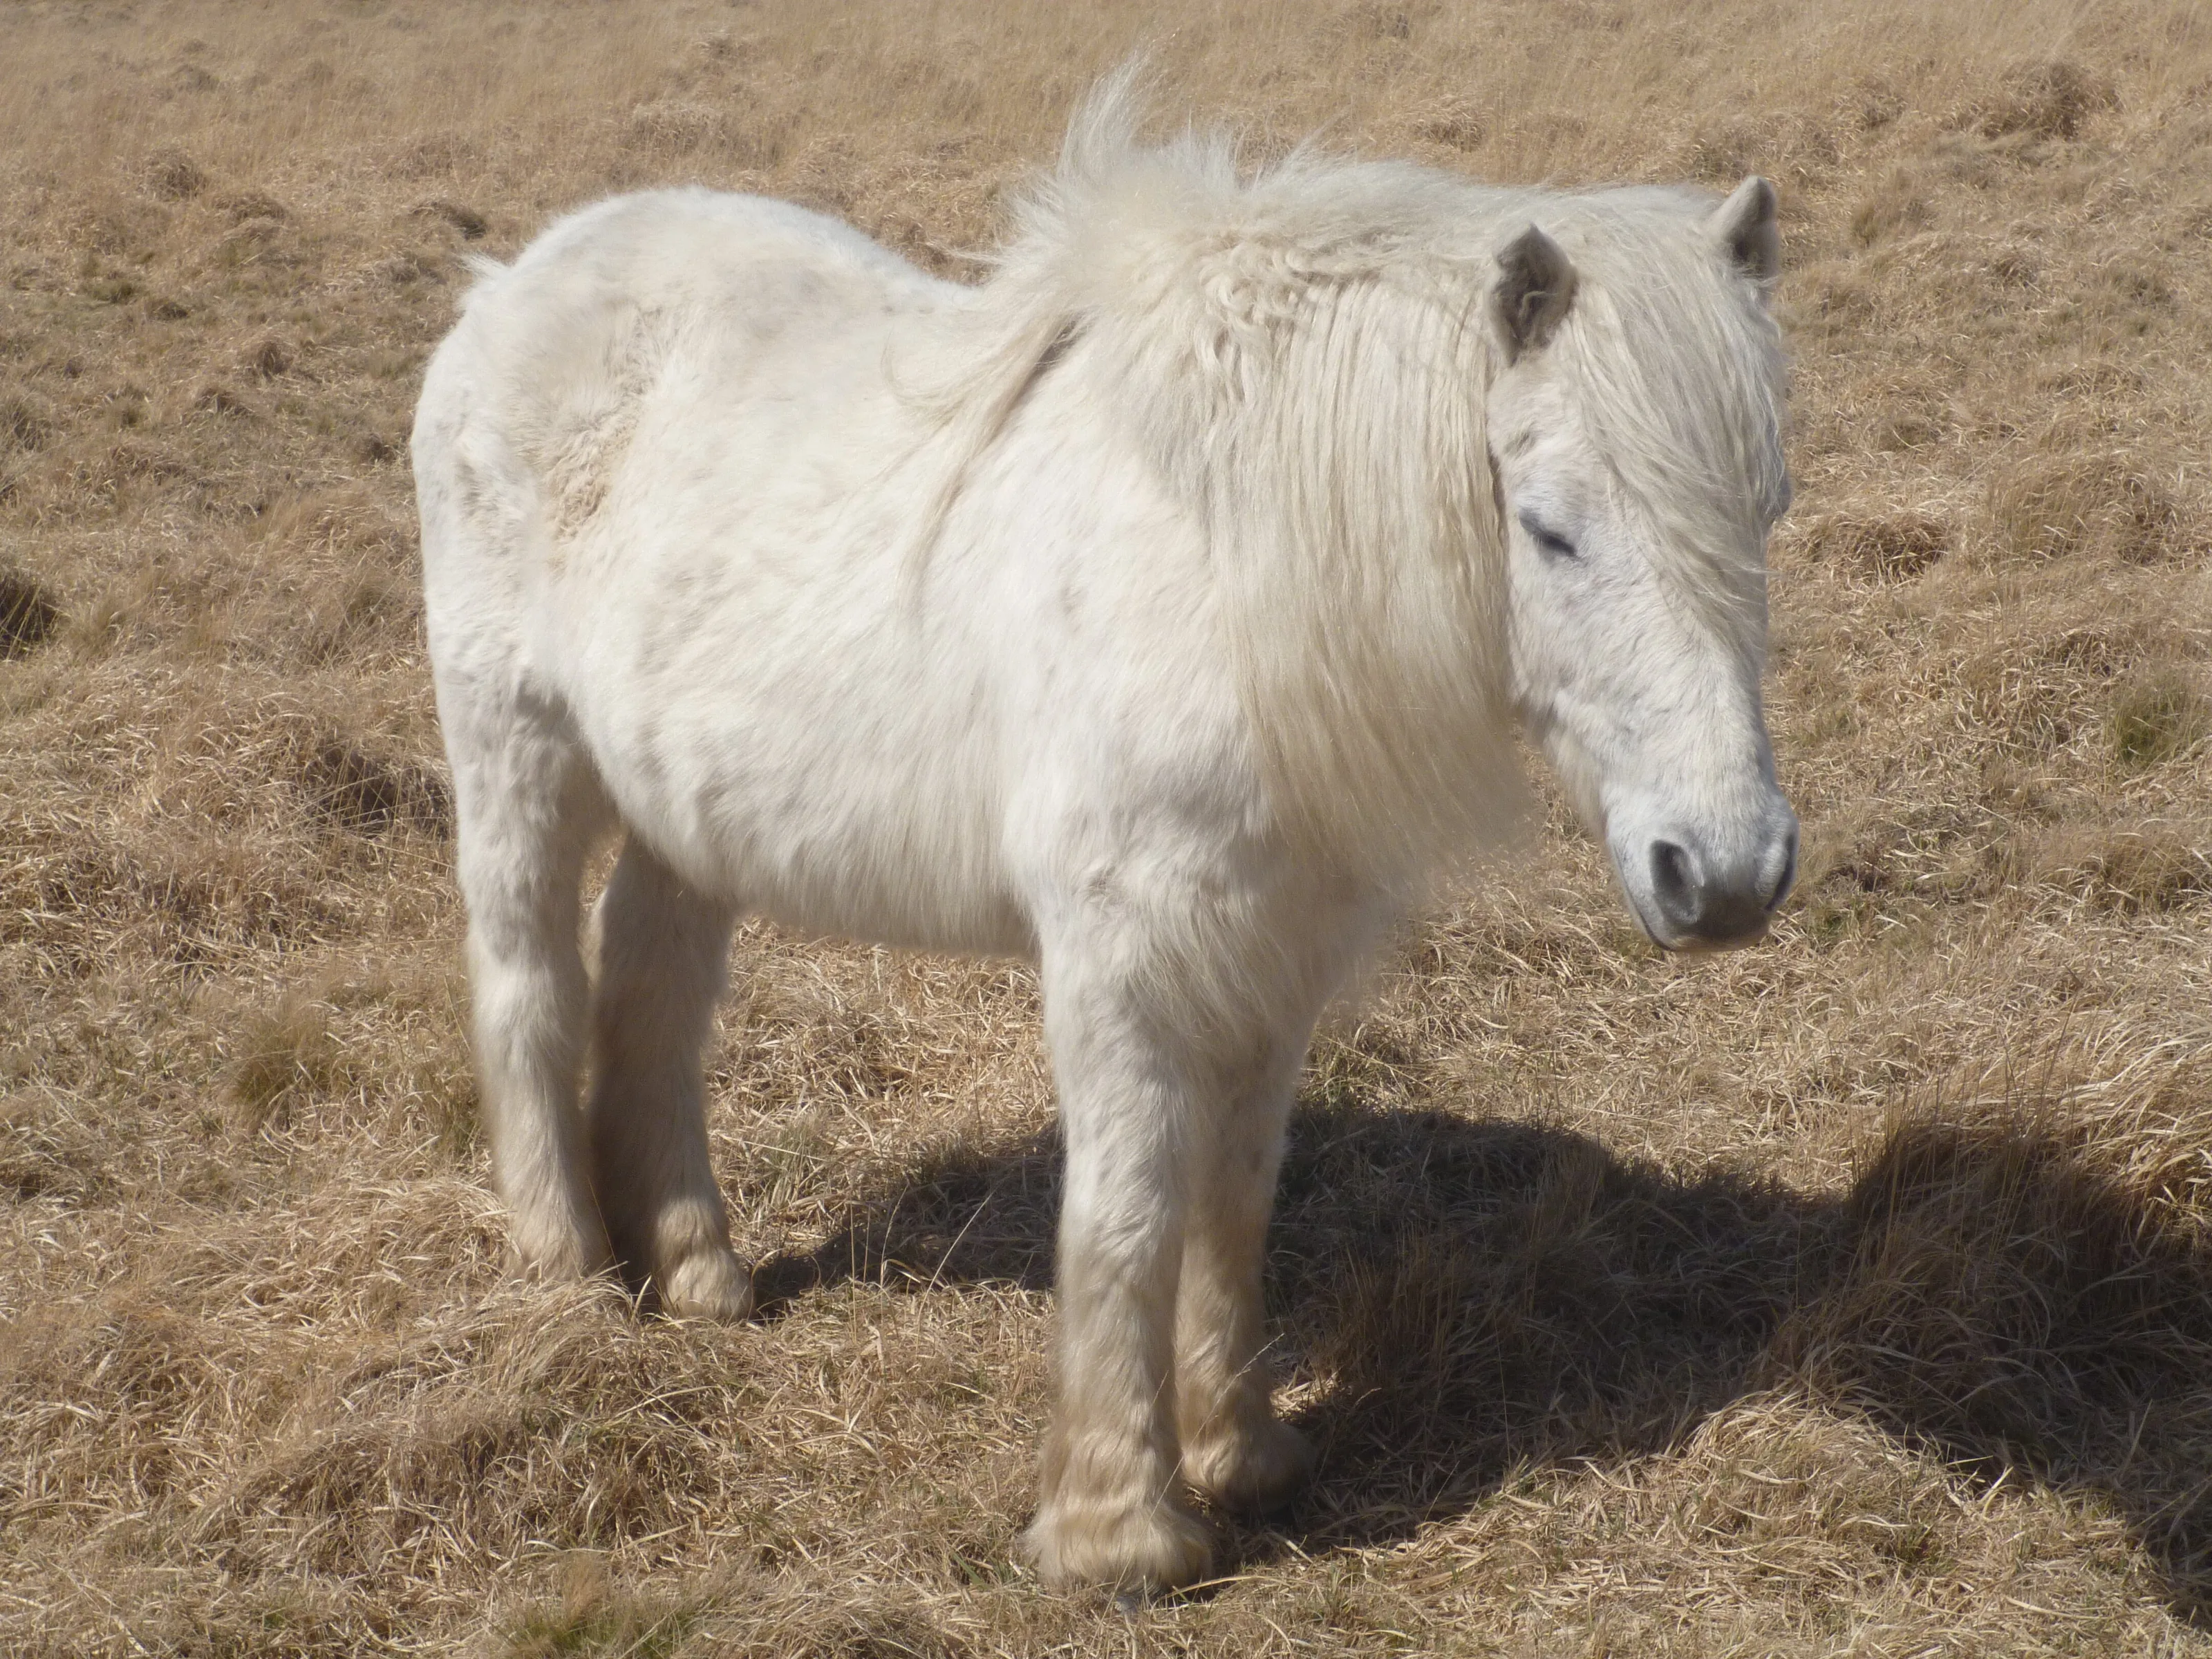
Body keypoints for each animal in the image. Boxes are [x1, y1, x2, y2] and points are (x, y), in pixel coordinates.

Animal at [411, 77, 1799, 1592]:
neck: (1225, 576)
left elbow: (1233, 1201)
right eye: (1547, 531)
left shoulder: (1273, 960)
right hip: (517, 755)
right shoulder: (1118, 962)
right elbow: (1128, 1212)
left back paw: (698, 1271)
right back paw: (567, 1282)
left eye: (1767, 509)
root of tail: (509, 284)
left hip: (684, 816)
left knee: (654, 1005)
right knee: (529, 990)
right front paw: (1118, 1530)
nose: (1726, 874)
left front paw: (1245, 1454)